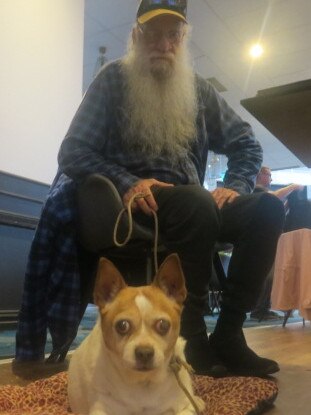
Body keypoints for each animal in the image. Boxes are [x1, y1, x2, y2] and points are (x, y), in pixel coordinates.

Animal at [67, 254, 205, 415]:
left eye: (163, 325)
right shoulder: (101, 409)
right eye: (122, 326)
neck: (143, 381)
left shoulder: (185, 408)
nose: (144, 353)